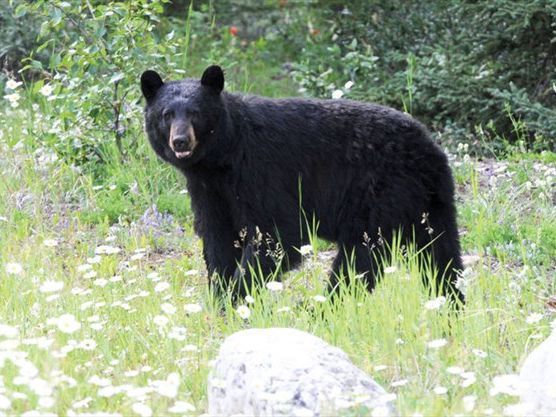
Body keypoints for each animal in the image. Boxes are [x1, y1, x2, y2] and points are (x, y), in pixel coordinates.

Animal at [140, 66, 464, 302]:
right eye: (167, 114)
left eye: (195, 113)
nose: (181, 141)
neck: (222, 157)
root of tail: (430, 149)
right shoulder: (209, 190)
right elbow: (217, 238)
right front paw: (221, 298)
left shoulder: (260, 171)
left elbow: (276, 235)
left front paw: (238, 297)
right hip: (430, 204)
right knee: (442, 255)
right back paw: (451, 305)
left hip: (381, 194)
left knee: (360, 258)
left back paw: (323, 307)